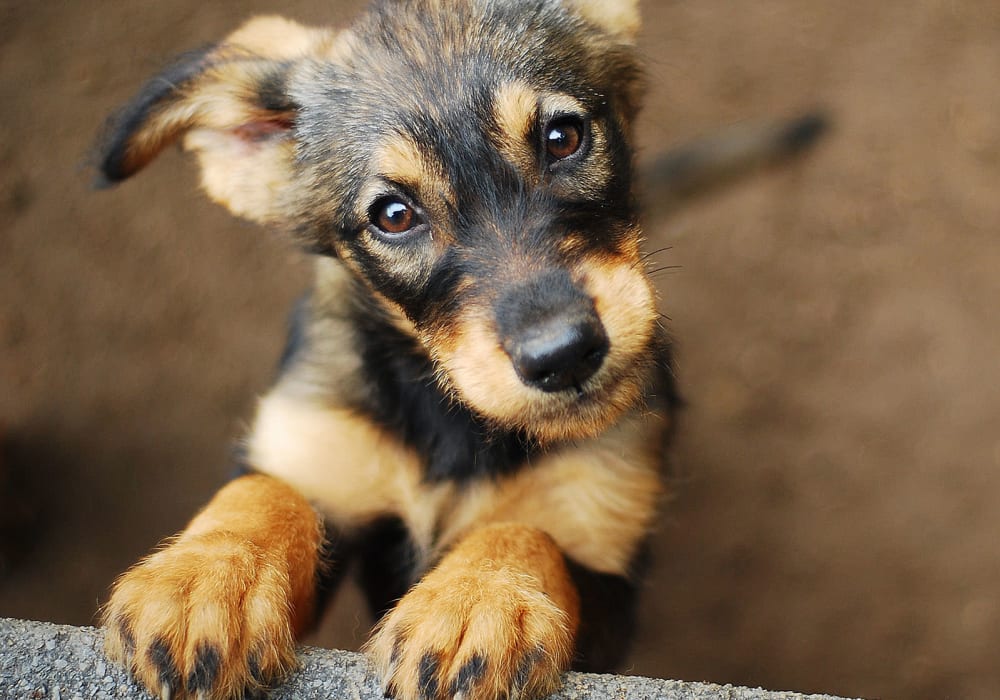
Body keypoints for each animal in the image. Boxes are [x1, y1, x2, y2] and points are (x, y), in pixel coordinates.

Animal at [94, 1, 820, 700]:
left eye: (563, 138)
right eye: (393, 215)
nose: (564, 354)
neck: (455, 422)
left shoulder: (608, 574)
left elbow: (524, 531)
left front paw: (477, 602)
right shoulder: (318, 447)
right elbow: (265, 490)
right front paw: (204, 578)